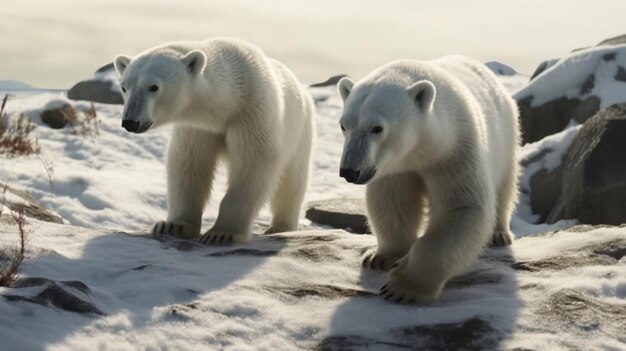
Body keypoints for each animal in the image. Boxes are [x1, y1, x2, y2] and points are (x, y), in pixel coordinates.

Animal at [113, 38, 312, 246]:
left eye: (153, 87)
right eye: (124, 87)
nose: (130, 122)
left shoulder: (251, 112)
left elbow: (254, 164)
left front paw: (222, 234)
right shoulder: (199, 126)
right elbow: (189, 163)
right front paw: (174, 225)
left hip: (301, 129)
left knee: (292, 180)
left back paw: (281, 226)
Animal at [336, 56, 516, 304]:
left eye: (377, 128)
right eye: (344, 125)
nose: (349, 171)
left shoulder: (455, 151)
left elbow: (461, 208)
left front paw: (403, 286)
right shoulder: (394, 168)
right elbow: (392, 204)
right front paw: (380, 258)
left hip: (507, 132)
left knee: (505, 185)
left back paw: (499, 234)